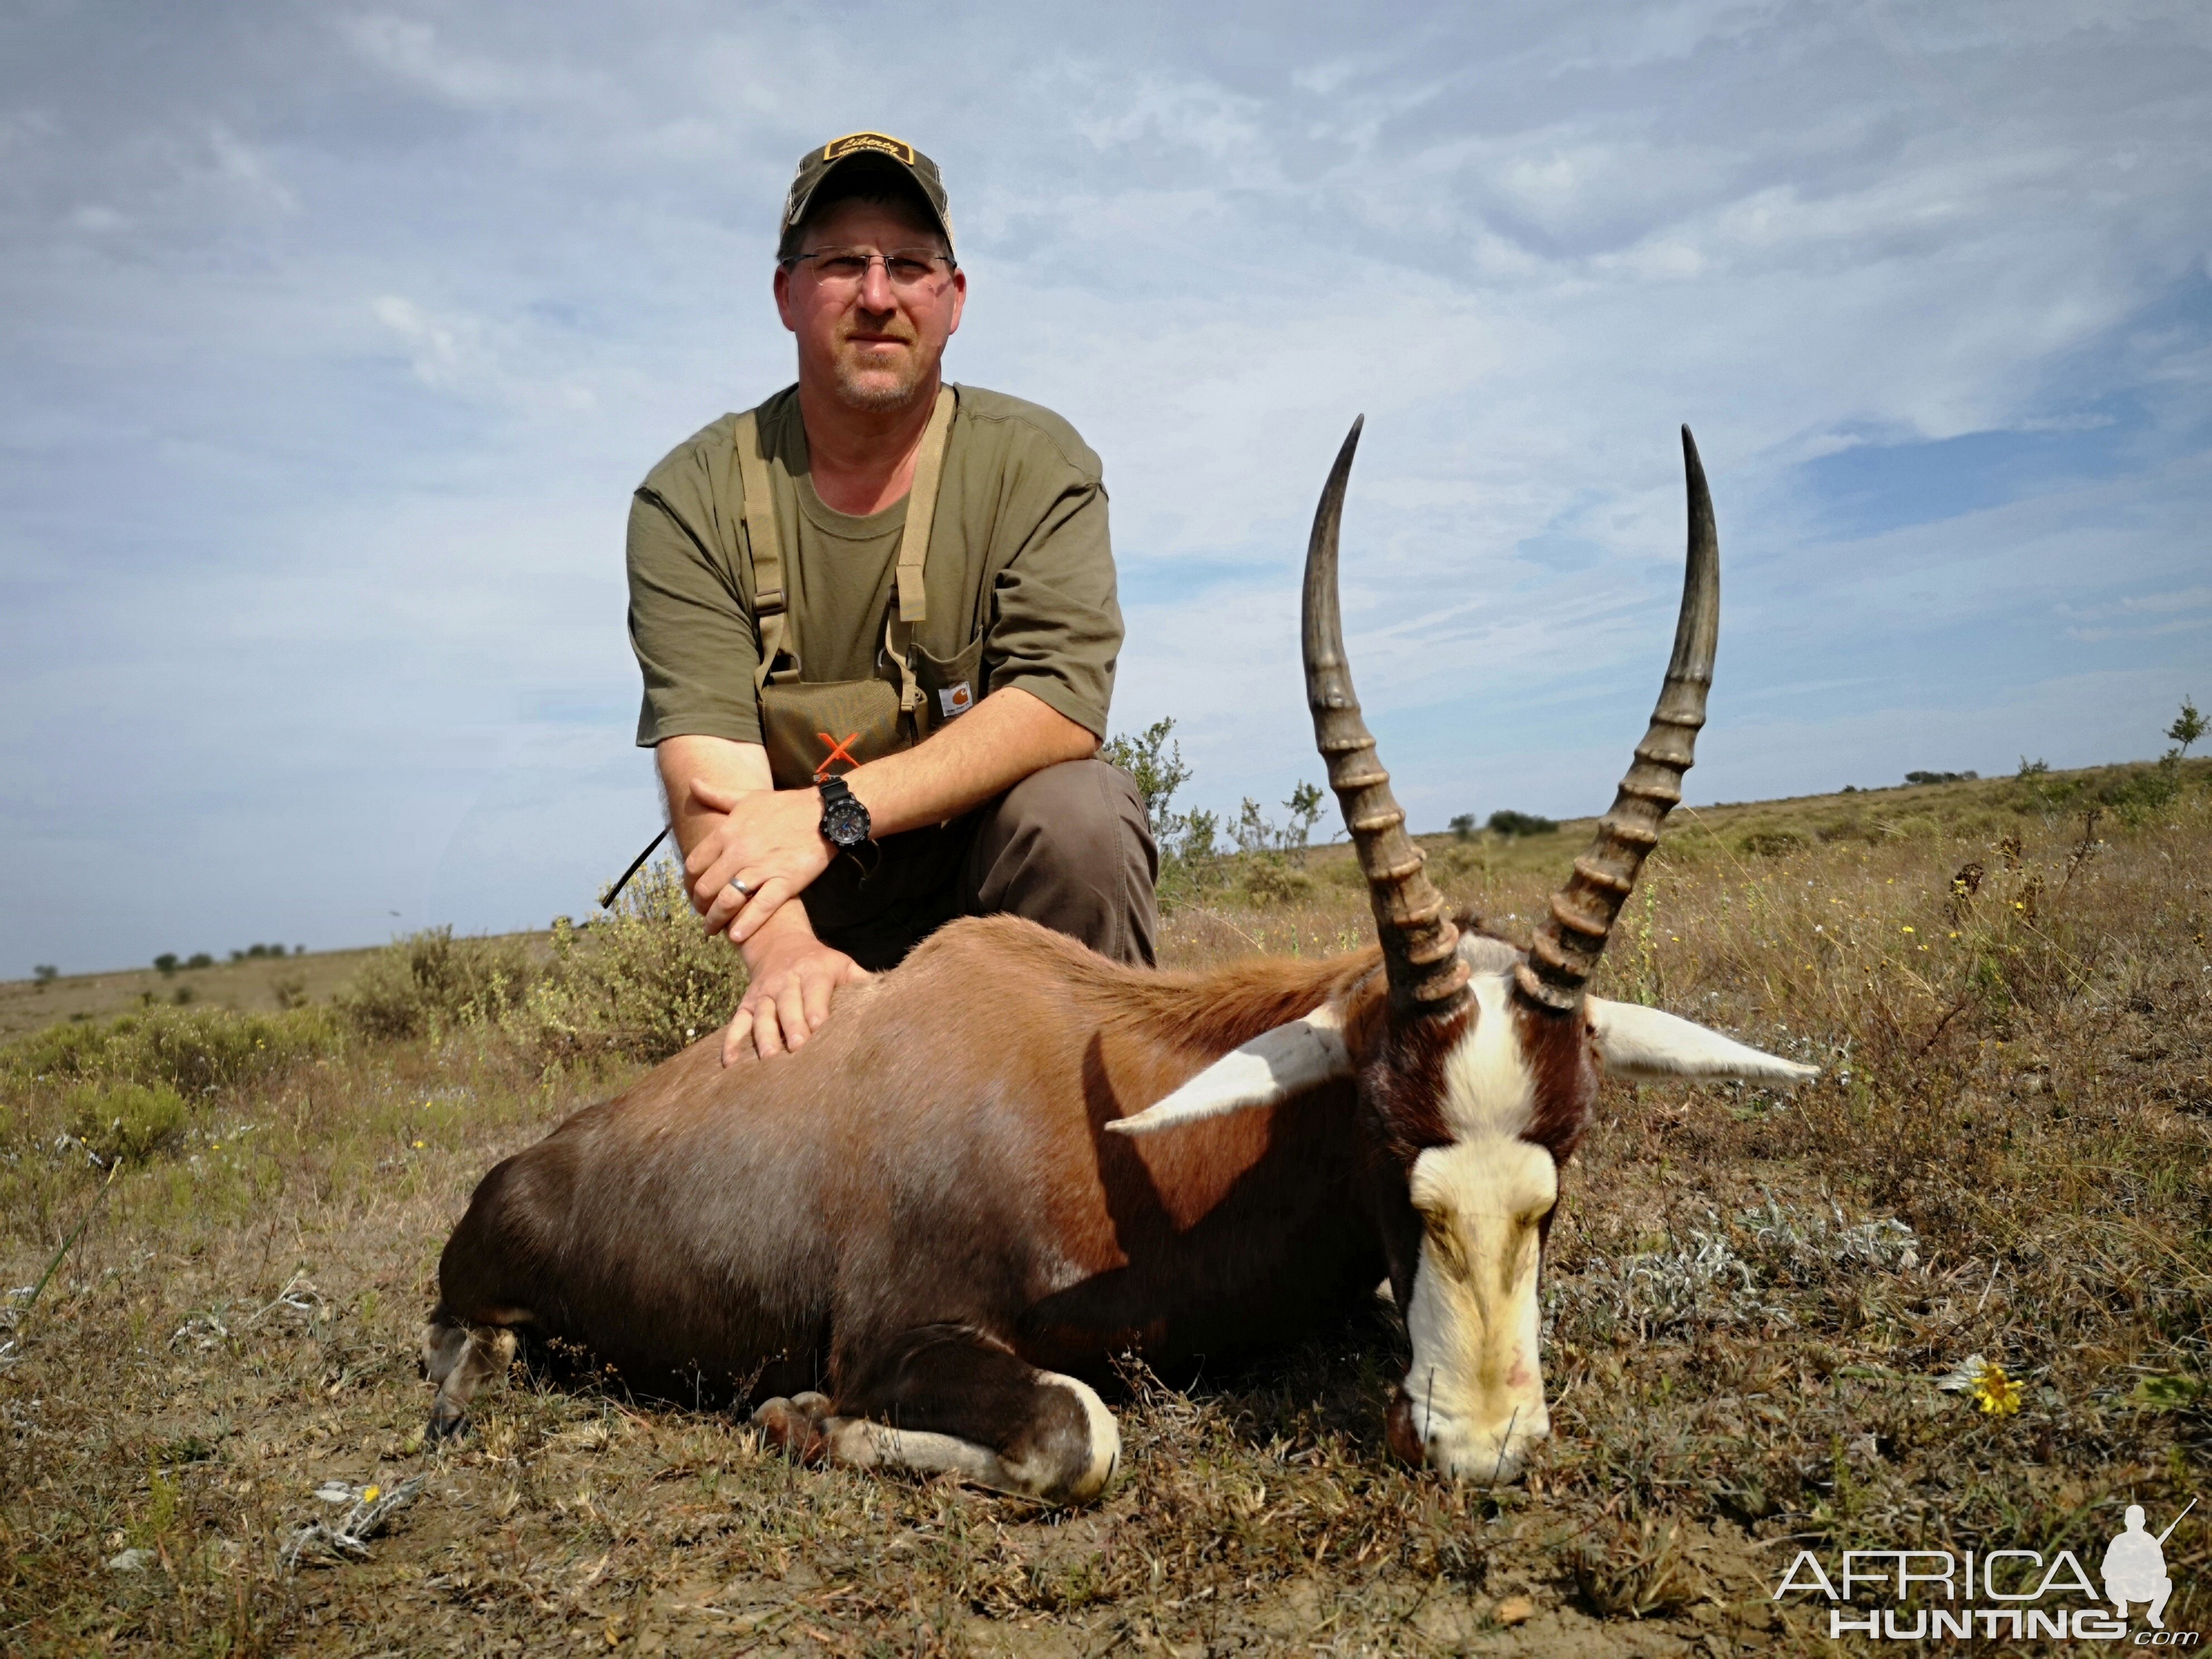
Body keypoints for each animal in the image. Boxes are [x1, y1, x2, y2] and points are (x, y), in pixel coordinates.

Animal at [426, 418, 1813, 1504]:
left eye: (1568, 1150)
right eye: (1380, 1131)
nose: (1478, 1446)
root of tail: (526, 1164)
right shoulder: (894, 1340)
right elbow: (1079, 1434)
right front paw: (800, 1421)